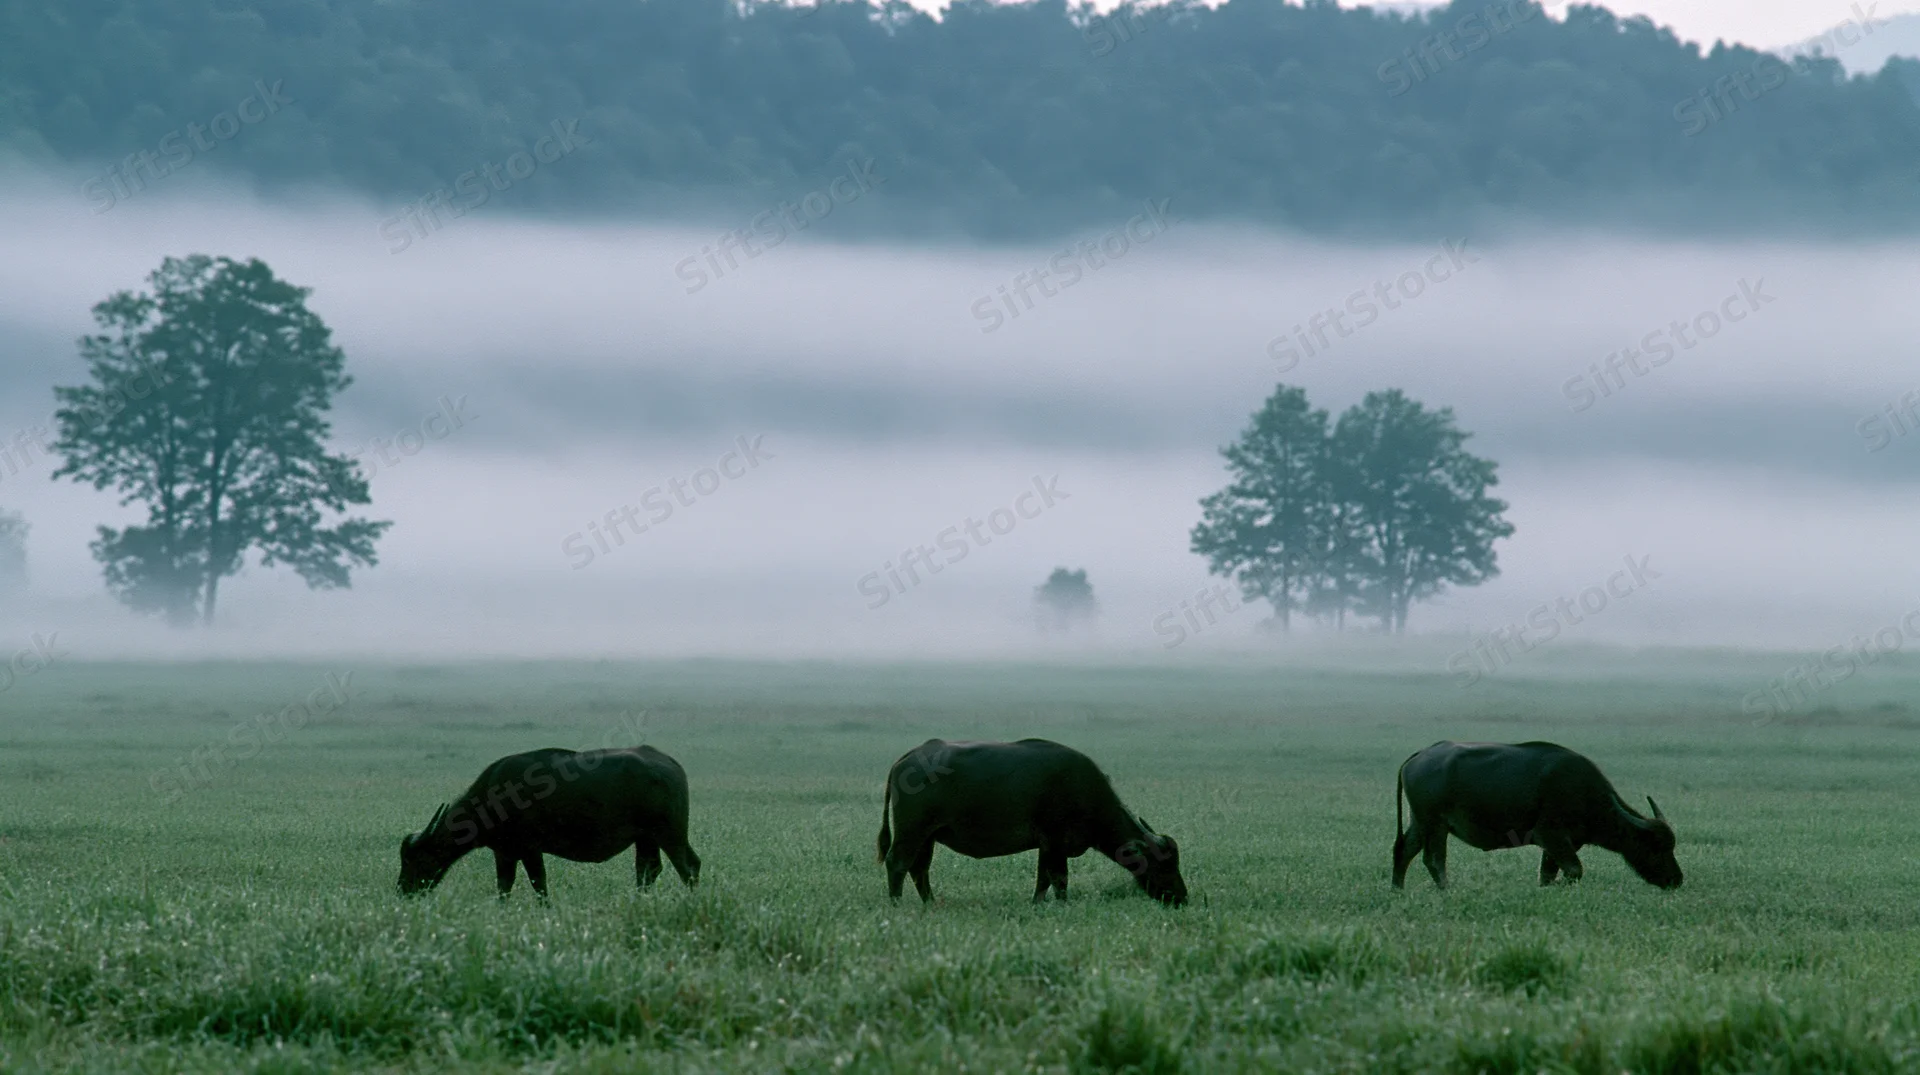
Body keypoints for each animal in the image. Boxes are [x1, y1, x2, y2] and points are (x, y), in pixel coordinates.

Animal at [399, 746, 700, 898]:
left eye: (416, 859)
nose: (403, 890)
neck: (494, 798)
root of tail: (671, 765)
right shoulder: (505, 853)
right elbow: (504, 887)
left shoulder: (531, 850)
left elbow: (539, 883)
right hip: (647, 838)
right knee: (649, 870)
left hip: (670, 834)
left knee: (687, 866)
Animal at [876, 738, 1186, 906]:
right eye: (1164, 864)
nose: (1181, 898)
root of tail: (907, 758)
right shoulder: (1056, 841)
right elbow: (1059, 877)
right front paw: (1062, 905)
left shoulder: (1045, 846)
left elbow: (1043, 878)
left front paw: (1037, 903)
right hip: (911, 832)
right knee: (898, 864)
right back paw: (896, 903)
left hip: (927, 837)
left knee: (919, 869)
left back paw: (930, 903)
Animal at [1392, 740, 1681, 890]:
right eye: (1655, 848)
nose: (1676, 880)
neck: (1586, 792)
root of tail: (1419, 756)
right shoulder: (1552, 836)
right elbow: (1575, 870)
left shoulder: (1558, 846)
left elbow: (1548, 873)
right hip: (1435, 824)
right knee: (1434, 859)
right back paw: (1446, 890)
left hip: (1419, 822)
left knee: (1404, 850)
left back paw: (1398, 890)